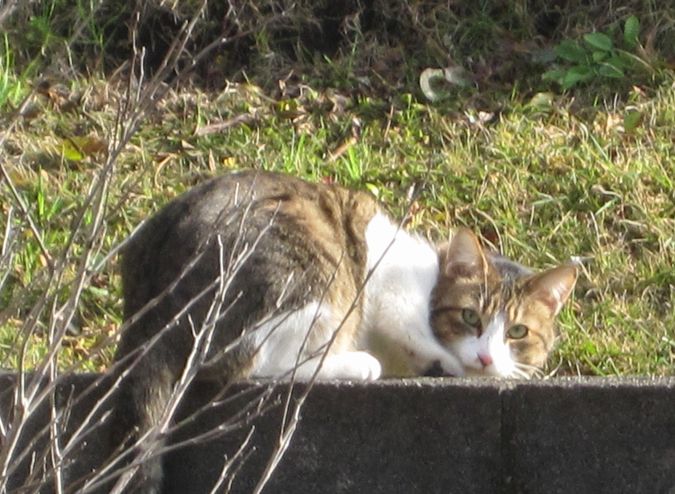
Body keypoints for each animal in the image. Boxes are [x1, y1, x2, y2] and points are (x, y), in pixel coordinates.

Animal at [108, 169, 580, 490]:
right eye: (470, 317)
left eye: (517, 333)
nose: (485, 356)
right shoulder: (391, 282)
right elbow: (414, 327)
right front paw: (450, 363)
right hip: (308, 272)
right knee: (255, 366)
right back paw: (353, 364)